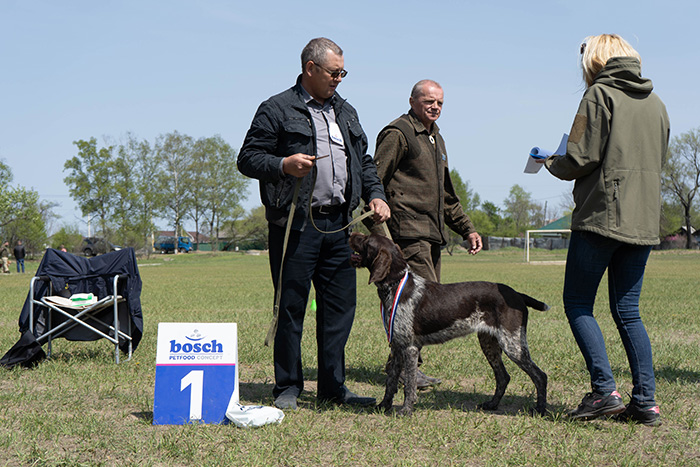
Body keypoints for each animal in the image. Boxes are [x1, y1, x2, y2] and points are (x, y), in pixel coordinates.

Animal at [348, 233, 548, 416]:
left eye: (366, 239)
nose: (351, 233)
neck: (396, 284)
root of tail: (517, 294)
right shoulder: (397, 347)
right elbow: (390, 382)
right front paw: (383, 406)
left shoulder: (410, 348)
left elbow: (409, 385)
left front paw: (406, 410)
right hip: (489, 343)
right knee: (503, 377)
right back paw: (492, 404)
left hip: (513, 344)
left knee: (540, 376)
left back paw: (539, 409)